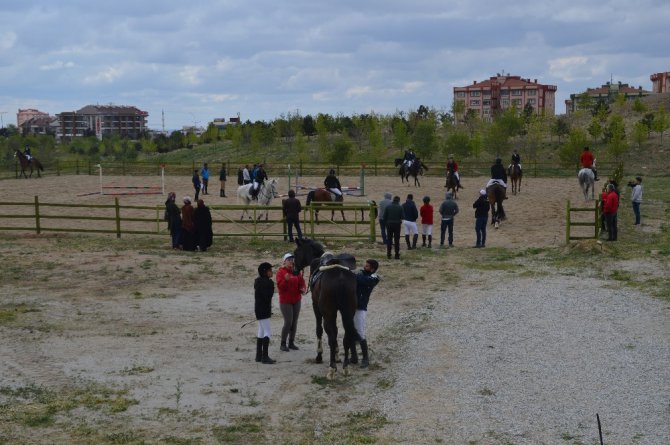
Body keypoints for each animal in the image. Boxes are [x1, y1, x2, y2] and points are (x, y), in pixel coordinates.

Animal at [292, 239, 360, 378]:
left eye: (296, 253)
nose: (294, 270)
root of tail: (340, 278)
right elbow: (336, 331)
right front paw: (337, 356)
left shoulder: (316, 308)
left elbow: (320, 330)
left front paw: (319, 356)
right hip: (347, 312)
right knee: (346, 335)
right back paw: (345, 367)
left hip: (328, 312)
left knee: (332, 337)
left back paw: (332, 368)